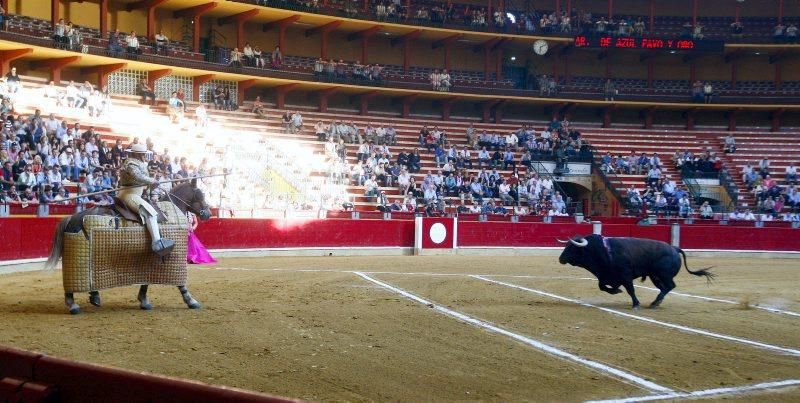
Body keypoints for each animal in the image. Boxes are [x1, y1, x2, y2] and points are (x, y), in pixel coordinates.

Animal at [44, 181, 212, 316]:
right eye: (200, 194)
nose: (208, 214)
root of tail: (72, 218)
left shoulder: (151, 261)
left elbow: (146, 281)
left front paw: (144, 301)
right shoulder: (173, 257)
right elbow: (181, 283)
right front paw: (191, 301)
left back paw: (94, 297)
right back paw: (73, 305)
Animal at [556, 234, 712, 310]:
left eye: (572, 248)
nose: (560, 259)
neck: (603, 251)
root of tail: (674, 248)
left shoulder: (626, 276)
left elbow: (631, 290)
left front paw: (635, 304)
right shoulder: (606, 277)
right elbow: (602, 286)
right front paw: (616, 291)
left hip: (663, 275)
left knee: (670, 286)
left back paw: (655, 303)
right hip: (655, 277)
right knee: (664, 288)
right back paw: (656, 302)